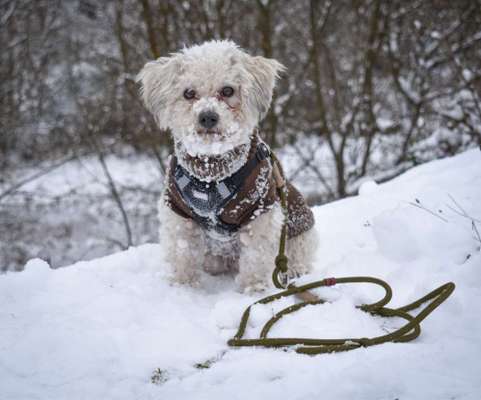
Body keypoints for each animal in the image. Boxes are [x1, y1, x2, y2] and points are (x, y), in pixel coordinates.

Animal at [136, 39, 316, 290]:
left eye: (228, 90)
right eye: (189, 93)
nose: (207, 117)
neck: (210, 173)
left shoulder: (260, 211)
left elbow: (256, 257)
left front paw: (254, 288)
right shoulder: (178, 212)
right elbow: (182, 255)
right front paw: (184, 286)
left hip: (297, 235)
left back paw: (295, 272)